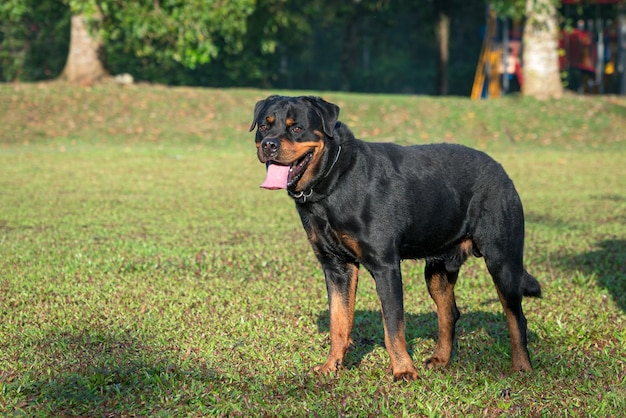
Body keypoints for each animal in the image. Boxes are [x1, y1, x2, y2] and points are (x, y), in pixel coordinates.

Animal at [246, 95, 540, 382]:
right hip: (438, 267)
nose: (269, 144)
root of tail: (501, 170)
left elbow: (393, 325)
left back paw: (522, 368)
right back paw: (440, 359)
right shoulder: (336, 267)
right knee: (449, 313)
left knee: (516, 317)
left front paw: (404, 371)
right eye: (264, 127)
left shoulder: (384, 266)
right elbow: (338, 322)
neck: (333, 180)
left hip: (503, 260)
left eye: (297, 128)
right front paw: (332, 367)